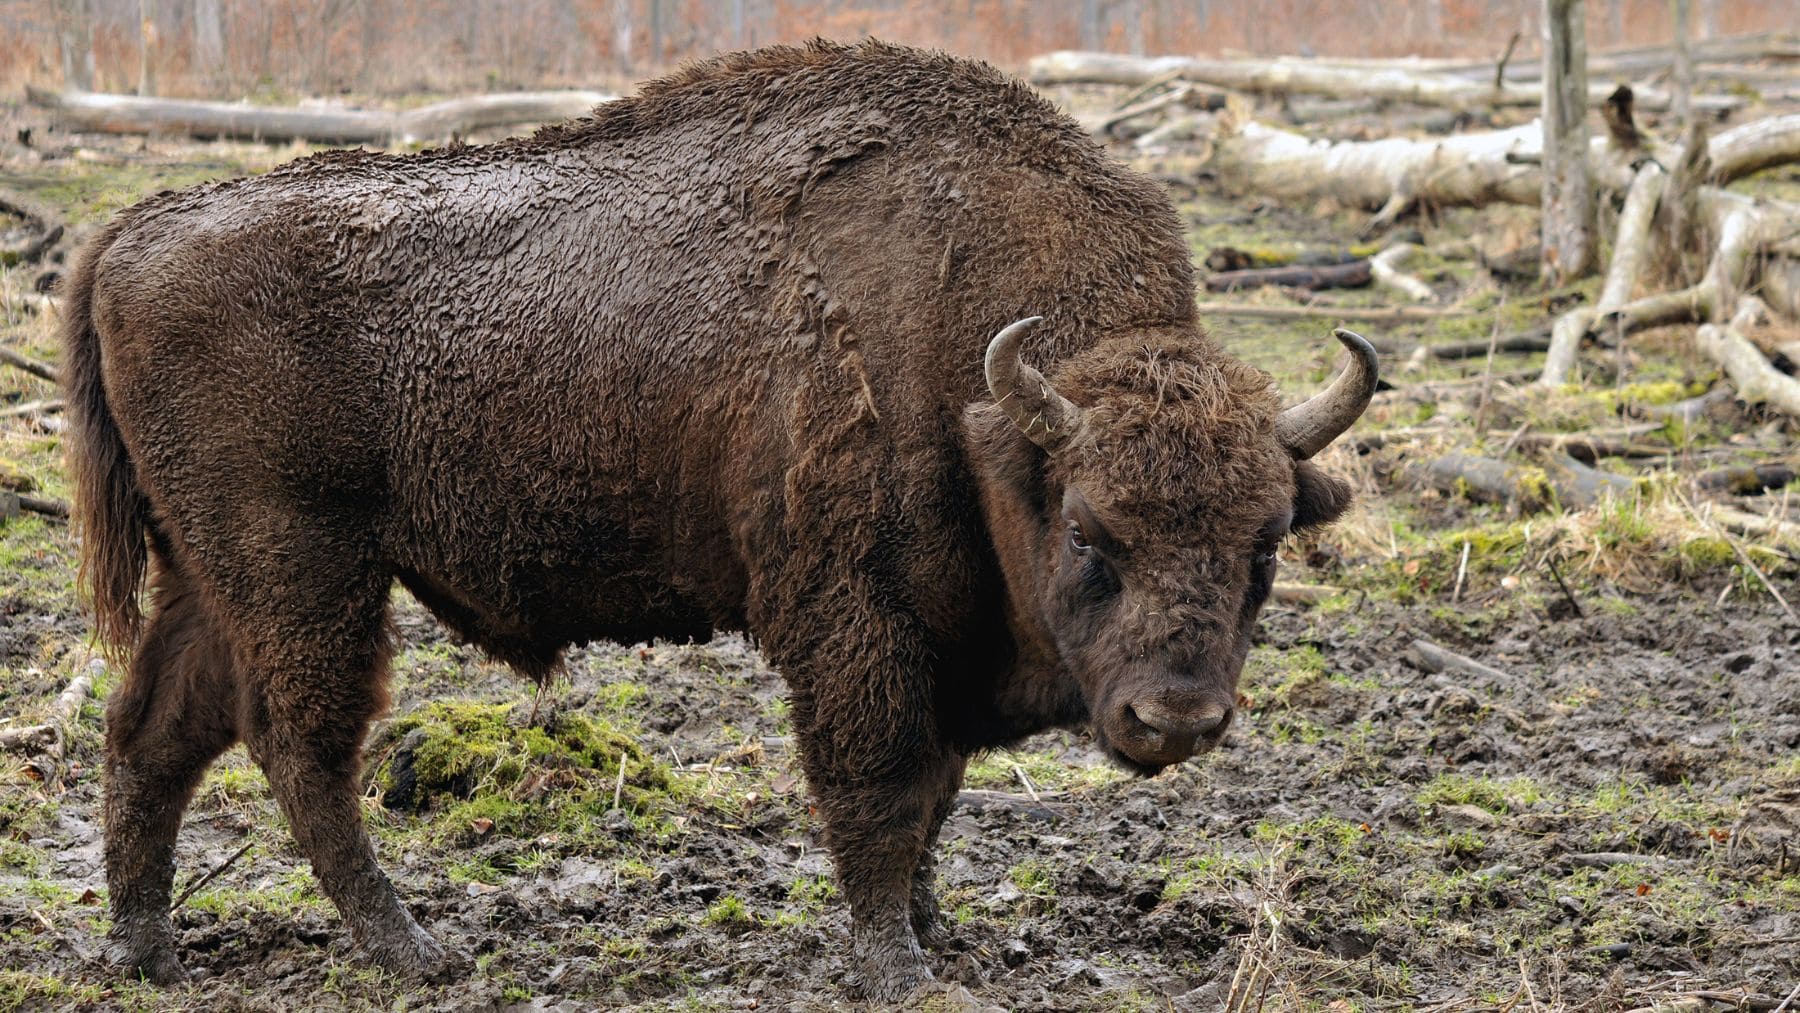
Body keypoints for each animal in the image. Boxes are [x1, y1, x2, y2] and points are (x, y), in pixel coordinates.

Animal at [63, 39, 1368, 1000]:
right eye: (1092, 530)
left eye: (1265, 543)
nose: (1177, 716)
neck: (983, 391)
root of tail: (130, 230)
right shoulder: (855, 620)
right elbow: (882, 785)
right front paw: (896, 966)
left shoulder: (941, 637)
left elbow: (936, 792)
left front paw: (934, 930)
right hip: (305, 569)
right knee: (296, 742)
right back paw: (414, 947)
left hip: (210, 573)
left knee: (153, 728)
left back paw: (145, 946)